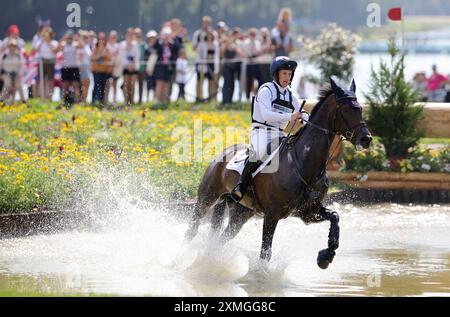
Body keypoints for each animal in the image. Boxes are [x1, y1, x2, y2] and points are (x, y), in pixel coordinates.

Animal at [184, 78, 372, 268]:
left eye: (360, 109)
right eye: (346, 109)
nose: (366, 139)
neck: (303, 163)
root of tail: (221, 155)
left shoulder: (308, 212)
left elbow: (335, 217)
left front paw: (326, 255)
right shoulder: (272, 215)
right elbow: (265, 253)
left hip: (241, 213)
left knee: (221, 238)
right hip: (207, 199)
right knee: (192, 229)